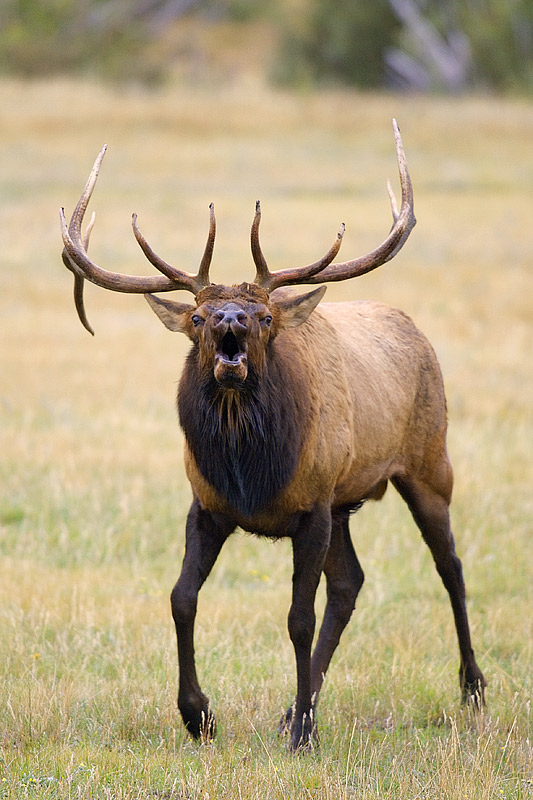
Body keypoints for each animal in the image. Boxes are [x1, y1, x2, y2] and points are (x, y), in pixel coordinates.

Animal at [60, 121, 486, 752]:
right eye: (196, 317)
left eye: (264, 317)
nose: (229, 319)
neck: (253, 475)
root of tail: (415, 329)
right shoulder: (209, 505)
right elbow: (181, 598)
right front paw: (199, 715)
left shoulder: (312, 507)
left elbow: (297, 618)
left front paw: (304, 734)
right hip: (347, 503)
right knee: (351, 583)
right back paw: (294, 708)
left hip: (430, 462)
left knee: (449, 565)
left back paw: (471, 686)